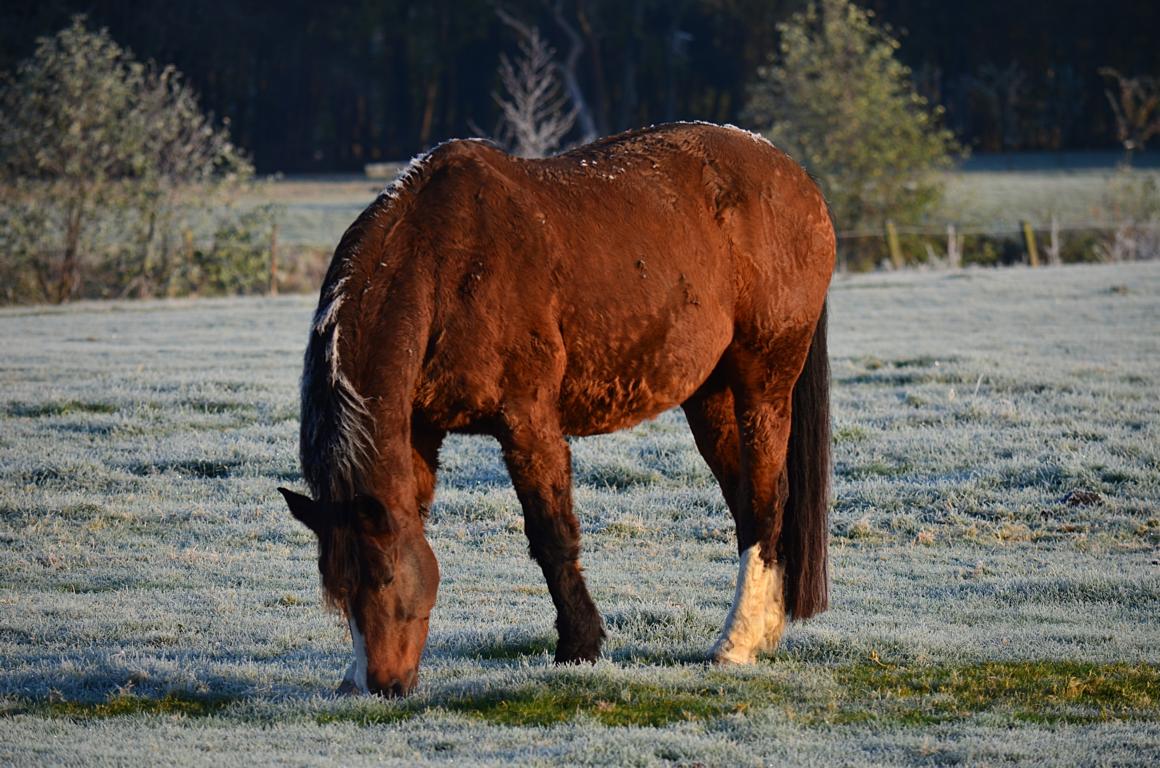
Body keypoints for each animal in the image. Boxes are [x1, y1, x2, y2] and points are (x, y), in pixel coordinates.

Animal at [276, 123, 830, 700]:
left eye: (384, 577)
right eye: (338, 590)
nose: (380, 685)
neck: (446, 263)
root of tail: (793, 175)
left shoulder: (527, 421)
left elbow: (552, 535)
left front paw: (579, 646)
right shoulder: (420, 432)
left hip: (763, 384)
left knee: (765, 500)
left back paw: (735, 643)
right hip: (711, 397)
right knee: (749, 503)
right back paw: (763, 631)